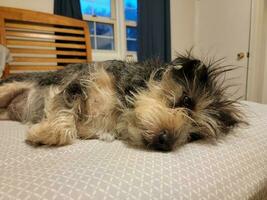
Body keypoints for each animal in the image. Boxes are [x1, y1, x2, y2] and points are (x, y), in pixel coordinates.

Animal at [0, 54, 246, 151]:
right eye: (186, 100)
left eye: (194, 135)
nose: (165, 142)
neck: (119, 108)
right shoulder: (80, 80)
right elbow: (65, 108)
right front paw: (47, 132)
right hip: (8, 87)